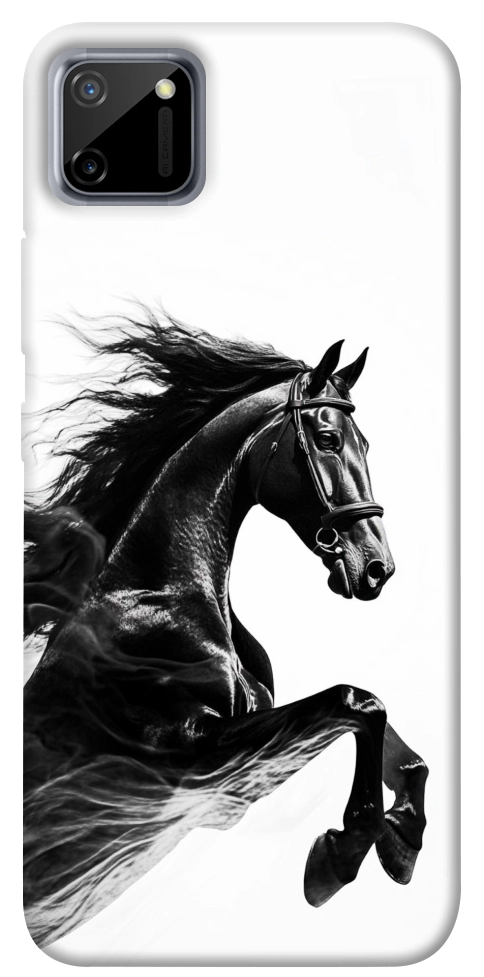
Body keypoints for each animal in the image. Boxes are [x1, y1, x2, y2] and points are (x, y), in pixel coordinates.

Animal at [24, 314, 428, 948]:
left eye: (364, 443)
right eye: (328, 439)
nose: (376, 568)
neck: (161, 599)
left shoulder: (236, 777)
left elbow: (390, 738)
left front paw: (402, 841)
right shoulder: (194, 760)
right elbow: (356, 702)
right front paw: (339, 857)